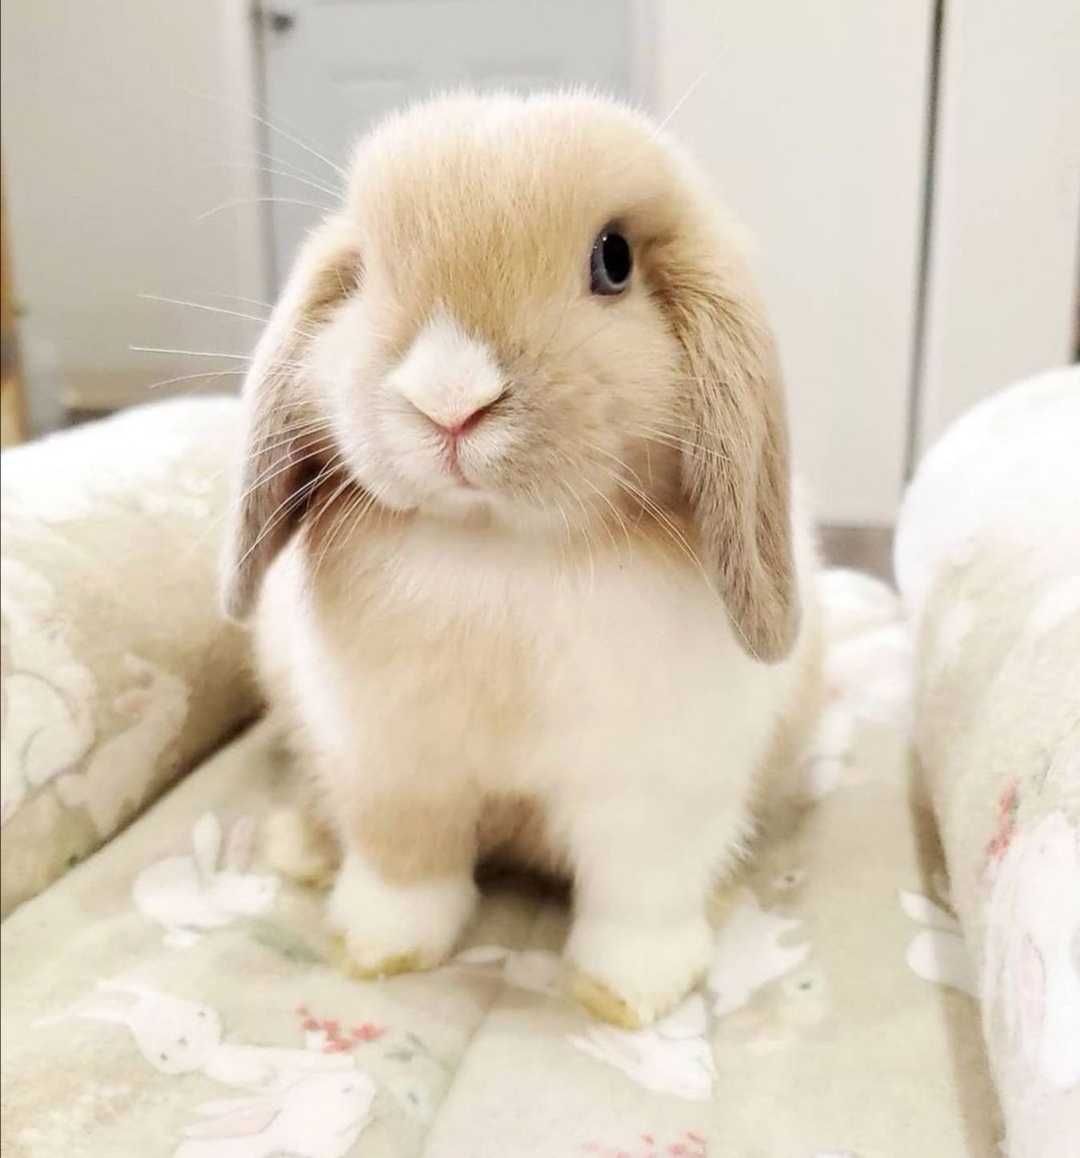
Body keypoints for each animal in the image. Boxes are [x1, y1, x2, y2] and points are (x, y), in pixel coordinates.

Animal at [132, 810, 277, 944]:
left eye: (258, 879)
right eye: (261, 888)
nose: (277, 882)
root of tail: (136, 891)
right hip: (164, 916)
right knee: (172, 927)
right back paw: (184, 939)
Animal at [223, 92, 819, 1032]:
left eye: (613, 260)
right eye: (367, 274)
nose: (449, 399)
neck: (498, 548)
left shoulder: (654, 792)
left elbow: (637, 894)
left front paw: (630, 994)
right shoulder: (392, 767)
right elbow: (405, 865)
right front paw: (379, 950)